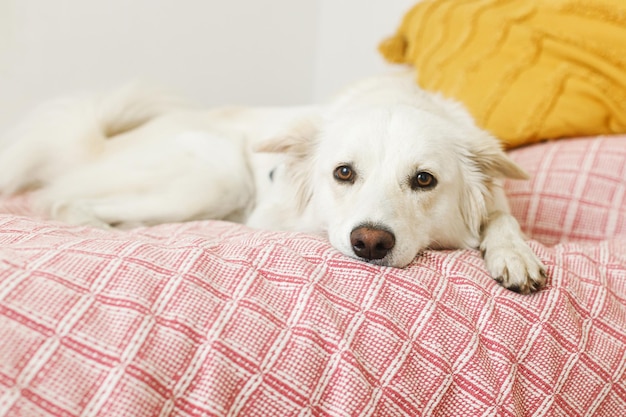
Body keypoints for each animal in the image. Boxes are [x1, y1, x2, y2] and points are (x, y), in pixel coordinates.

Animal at [0, 74, 544, 292]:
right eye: (343, 173)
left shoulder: (495, 202)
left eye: (424, 180)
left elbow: (502, 217)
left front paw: (515, 254)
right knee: (64, 202)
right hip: (216, 173)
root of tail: (99, 143)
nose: (370, 243)